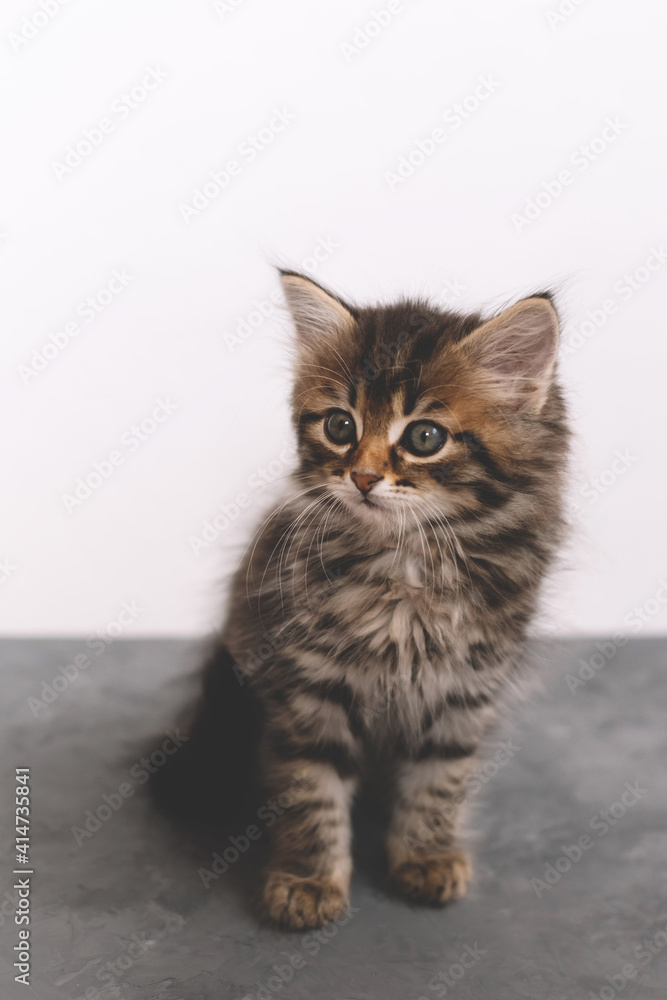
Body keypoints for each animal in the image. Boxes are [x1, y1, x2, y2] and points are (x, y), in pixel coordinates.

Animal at [174, 272, 568, 928]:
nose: (361, 478)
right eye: (340, 426)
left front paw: (427, 859)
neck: (405, 567)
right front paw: (308, 882)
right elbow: (311, 791)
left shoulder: (466, 689)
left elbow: (440, 783)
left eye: (425, 437)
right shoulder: (307, 686)